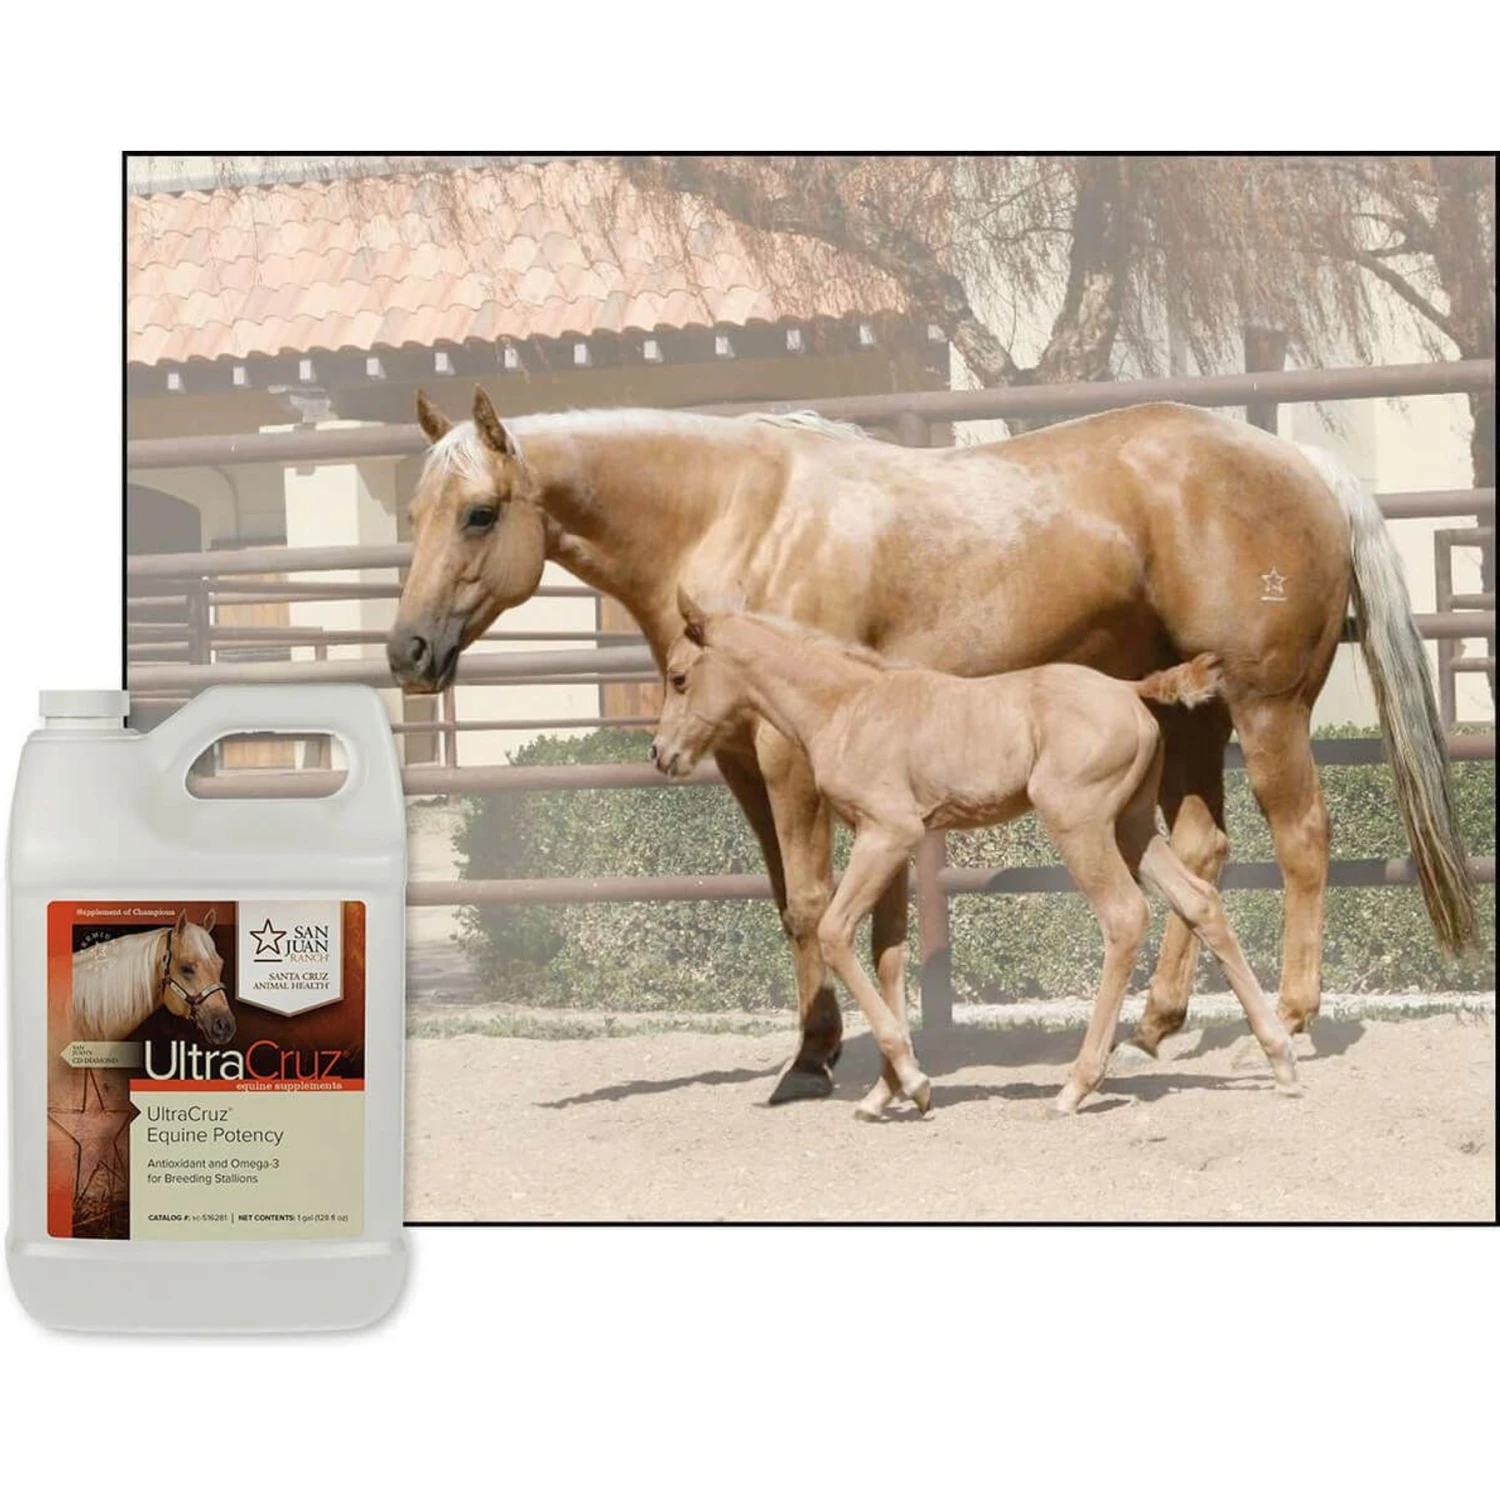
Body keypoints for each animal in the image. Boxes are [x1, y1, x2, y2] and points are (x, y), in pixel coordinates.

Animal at [650, 593, 1299, 1116]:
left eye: (679, 677)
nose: (661, 754)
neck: (847, 705)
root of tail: (1126, 688)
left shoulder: (886, 834)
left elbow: (835, 934)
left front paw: (913, 1083)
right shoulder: (892, 842)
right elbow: (889, 955)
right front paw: (886, 1092)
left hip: (1080, 824)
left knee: (1124, 916)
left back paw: (1077, 1085)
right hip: (1132, 826)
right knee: (1200, 901)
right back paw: (1280, 1060)